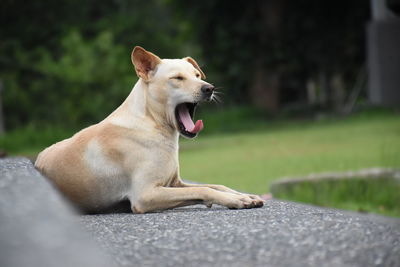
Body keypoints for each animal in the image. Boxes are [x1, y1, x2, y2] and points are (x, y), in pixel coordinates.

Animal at [35, 46, 266, 214]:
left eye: (198, 75)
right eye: (177, 78)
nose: (209, 88)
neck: (152, 123)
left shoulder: (175, 183)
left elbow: (216, 185)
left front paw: (242, 195)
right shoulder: (145, 195)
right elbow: (203, 188)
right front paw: (235, 200)